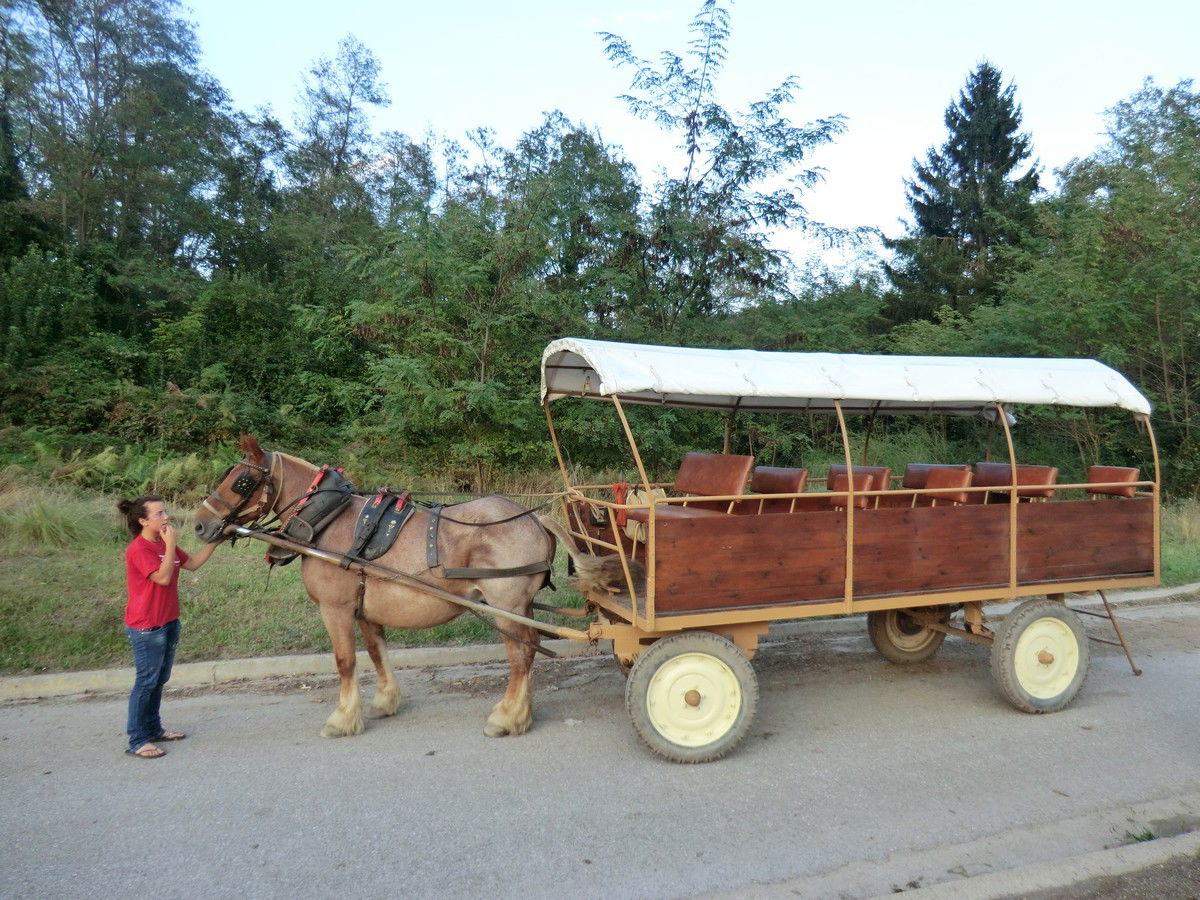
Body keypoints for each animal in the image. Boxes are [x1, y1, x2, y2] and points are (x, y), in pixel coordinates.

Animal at [194, 434, 554, 739]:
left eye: (241, 481)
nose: (200, 524)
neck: (327, 519)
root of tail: (536, 521)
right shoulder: (364, 607)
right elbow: (375, 651)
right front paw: (385, 701)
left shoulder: (335, 609)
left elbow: (345, 661)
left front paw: (342, 719)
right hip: (522, 606)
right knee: (531, 648)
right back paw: (521, 712)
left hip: (505, 605)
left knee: (520, 654)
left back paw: (506, 718)